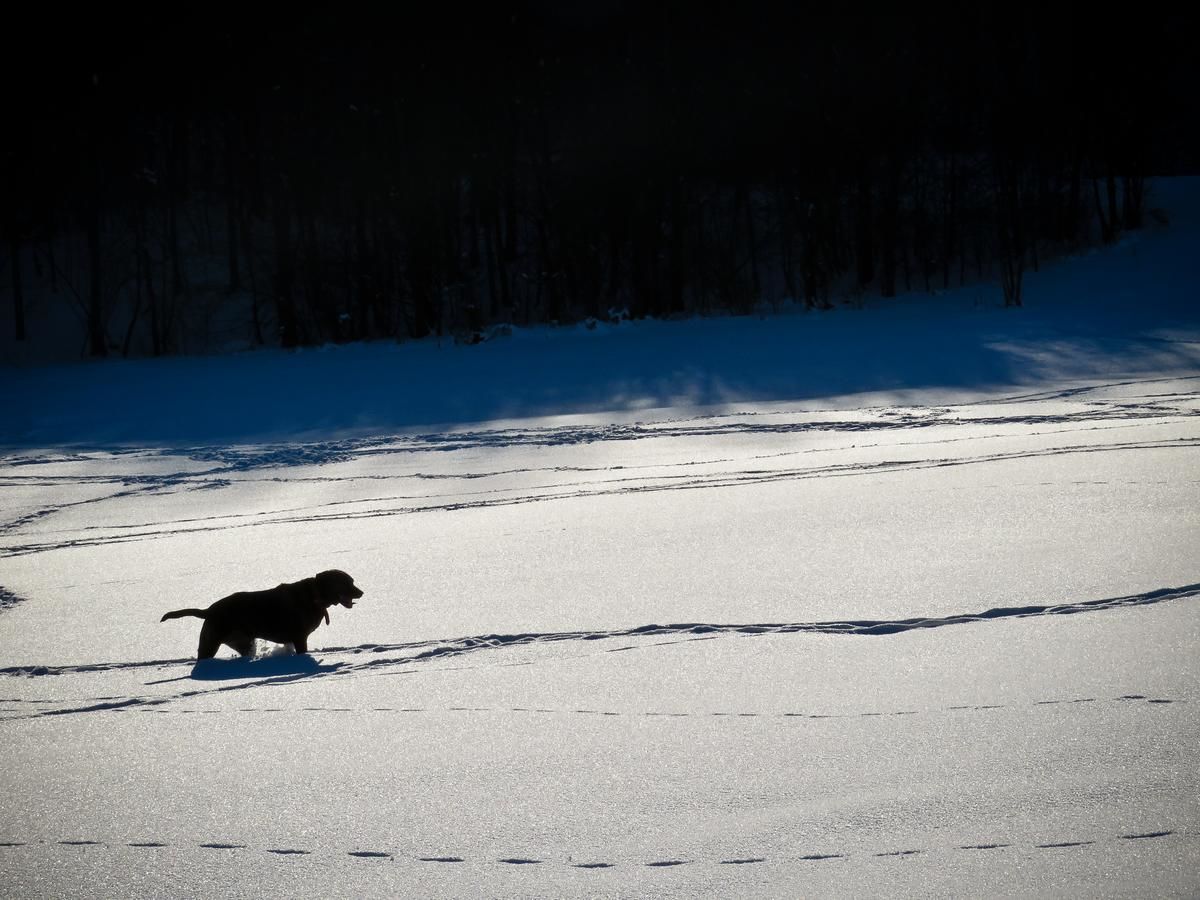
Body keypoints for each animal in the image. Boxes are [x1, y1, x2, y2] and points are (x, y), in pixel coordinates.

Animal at [162, 571, 362, 662]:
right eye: (347, 583)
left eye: (352, 581)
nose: (361, 592)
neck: (315, 595)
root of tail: (209, 610)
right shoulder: (299, 637)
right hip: (210, 643)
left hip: (243, 642)